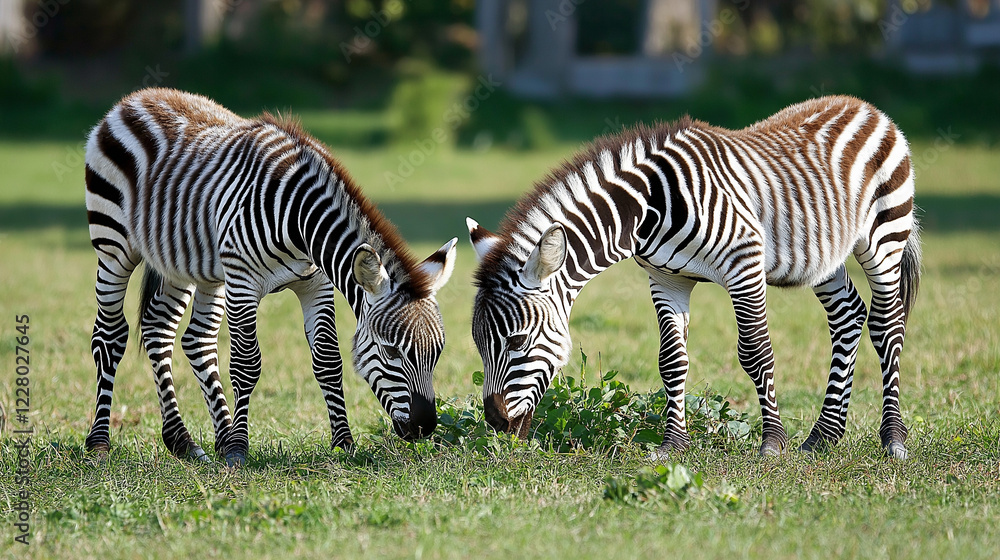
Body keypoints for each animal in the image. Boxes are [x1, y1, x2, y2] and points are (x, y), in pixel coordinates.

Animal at [84, 88, 456, 465]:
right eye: (391, 351)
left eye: (437, 352)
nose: (425, 427)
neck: (300, 220)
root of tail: (140, 96)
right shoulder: (242, 281)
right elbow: (246, 364)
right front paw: (238, 449)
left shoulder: (315, 284)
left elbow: (328, 361)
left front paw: (343, 444)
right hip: (114, 244)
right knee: (110, 335)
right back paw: (100, 442)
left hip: (189, 264)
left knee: (177, 335)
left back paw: (188, 440)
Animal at [468, 95, 920, 459]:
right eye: (479, 343)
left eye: (517, 341)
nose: (495, 422)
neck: (647, 209)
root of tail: (863, 106)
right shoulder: (666, 279)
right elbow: (672, 360)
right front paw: (673, 445)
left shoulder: (743, 263)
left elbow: (756, 352)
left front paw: (772, 443)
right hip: (824, 254)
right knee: (848, 315)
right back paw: (823, 436)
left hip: (883, 236)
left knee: (887, 325)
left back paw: (893, 438)